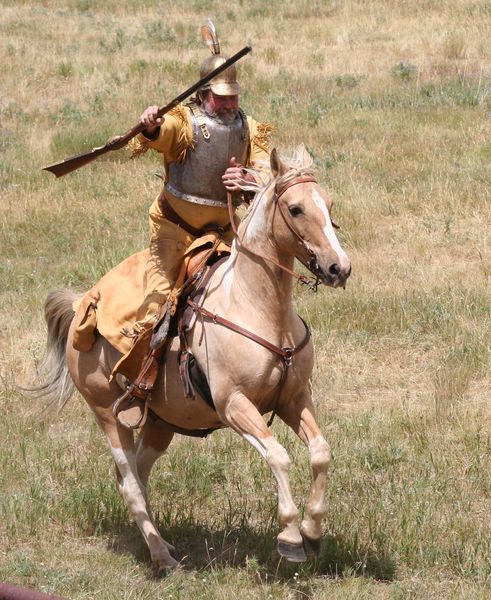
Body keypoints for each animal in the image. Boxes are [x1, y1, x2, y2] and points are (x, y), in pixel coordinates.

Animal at [35, 145, 350, 572]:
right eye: (296, 208)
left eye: (328, 204)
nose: (339, 267)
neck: (256, 307)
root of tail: (81, 304)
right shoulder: (235, 405)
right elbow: (279, 456)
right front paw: (289, 536)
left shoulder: (294, 397)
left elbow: (320, 452)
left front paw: (313, 532)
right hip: (107, 414)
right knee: (130, 484)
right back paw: (161, 558)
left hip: (158, 424)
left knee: (136, 476)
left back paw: (164, 546)